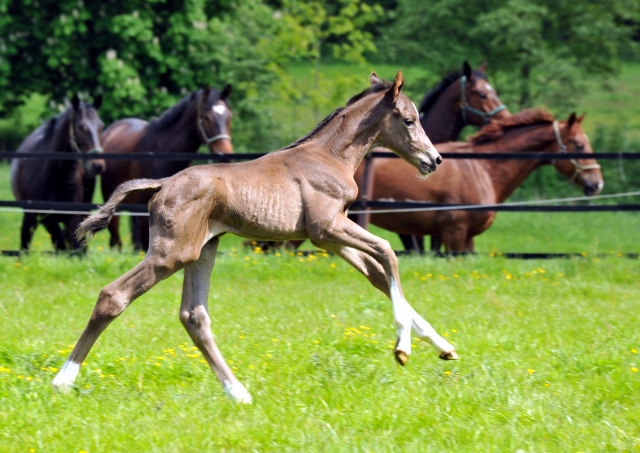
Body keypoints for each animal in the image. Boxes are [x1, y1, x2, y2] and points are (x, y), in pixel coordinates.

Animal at [10, 94, 105, 252]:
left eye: (101, 126)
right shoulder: (40, 218)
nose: (98, 165)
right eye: (81, 127)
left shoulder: (73, 218)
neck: (55, 176)